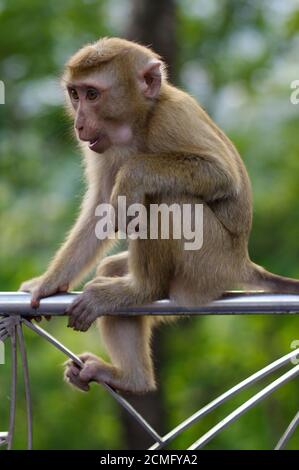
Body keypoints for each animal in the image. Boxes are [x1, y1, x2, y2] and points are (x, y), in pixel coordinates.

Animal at [18, 37, 299, 392]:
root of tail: (242, 263)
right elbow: (100, 208)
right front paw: (48, 283)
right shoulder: (103, 147)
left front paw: (132, 176)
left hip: (208, 264)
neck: (140, 123)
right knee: (114, 264)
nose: (78, 123)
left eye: (92, 94)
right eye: (75, 94)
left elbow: (222, 176)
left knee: (168, 197)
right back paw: (131, 377)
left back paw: (143, 290)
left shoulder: (173, 117)